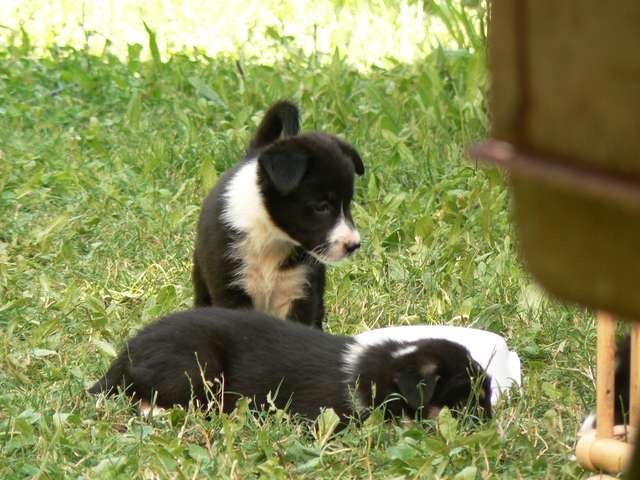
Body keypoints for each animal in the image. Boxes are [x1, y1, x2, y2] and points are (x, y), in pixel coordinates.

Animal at [192, 101, 364, 329]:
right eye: (322, 207)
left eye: (349, 203)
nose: (354, 245)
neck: (269, 236)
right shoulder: (231, 287)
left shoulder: (300, 290)